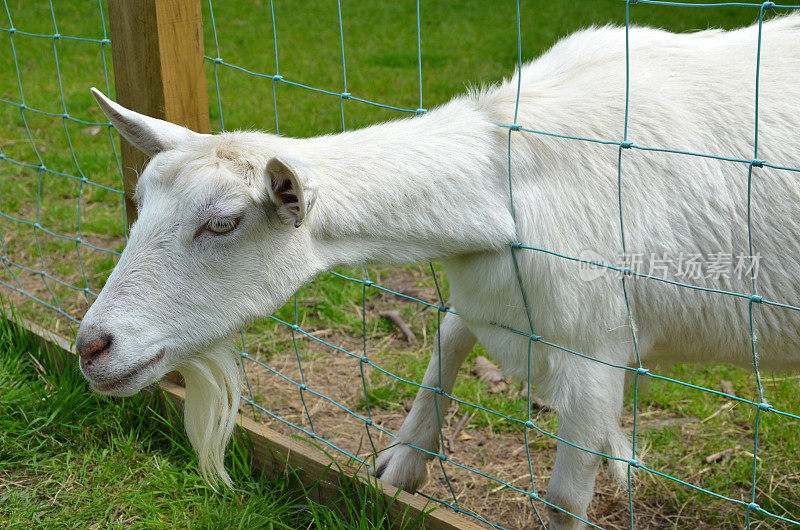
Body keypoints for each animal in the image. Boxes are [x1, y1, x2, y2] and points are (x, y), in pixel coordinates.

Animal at [78, 14, 800, 524]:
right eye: (141, 201)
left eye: (224, 222)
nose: (91, 347)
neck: (505, 185)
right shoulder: (496, 298)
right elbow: (449, 335)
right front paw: (404, 462)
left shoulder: (595, 349)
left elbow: (564, 502)